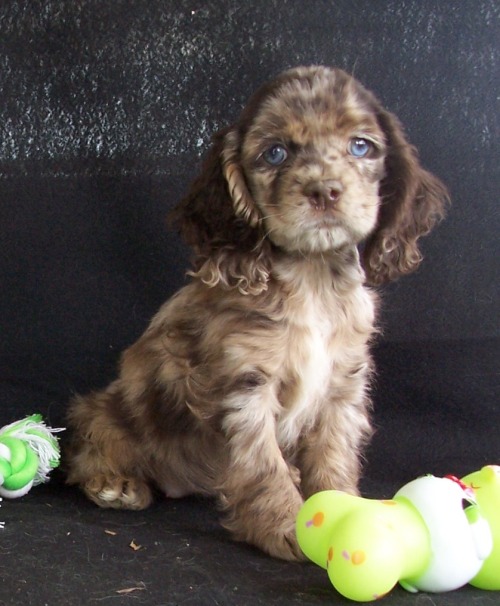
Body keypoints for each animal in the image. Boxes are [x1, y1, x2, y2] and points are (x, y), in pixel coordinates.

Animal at [64, 65, 448, 560]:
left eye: (361, 146)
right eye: (275, 153)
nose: (324, 191)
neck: (311, 279)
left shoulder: (343, 386)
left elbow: (334, 455)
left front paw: (340, 510)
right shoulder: (244, 387)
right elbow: (263, 463)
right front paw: (286, 526)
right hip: (109, 409)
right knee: (91, 437)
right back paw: (115, 482)